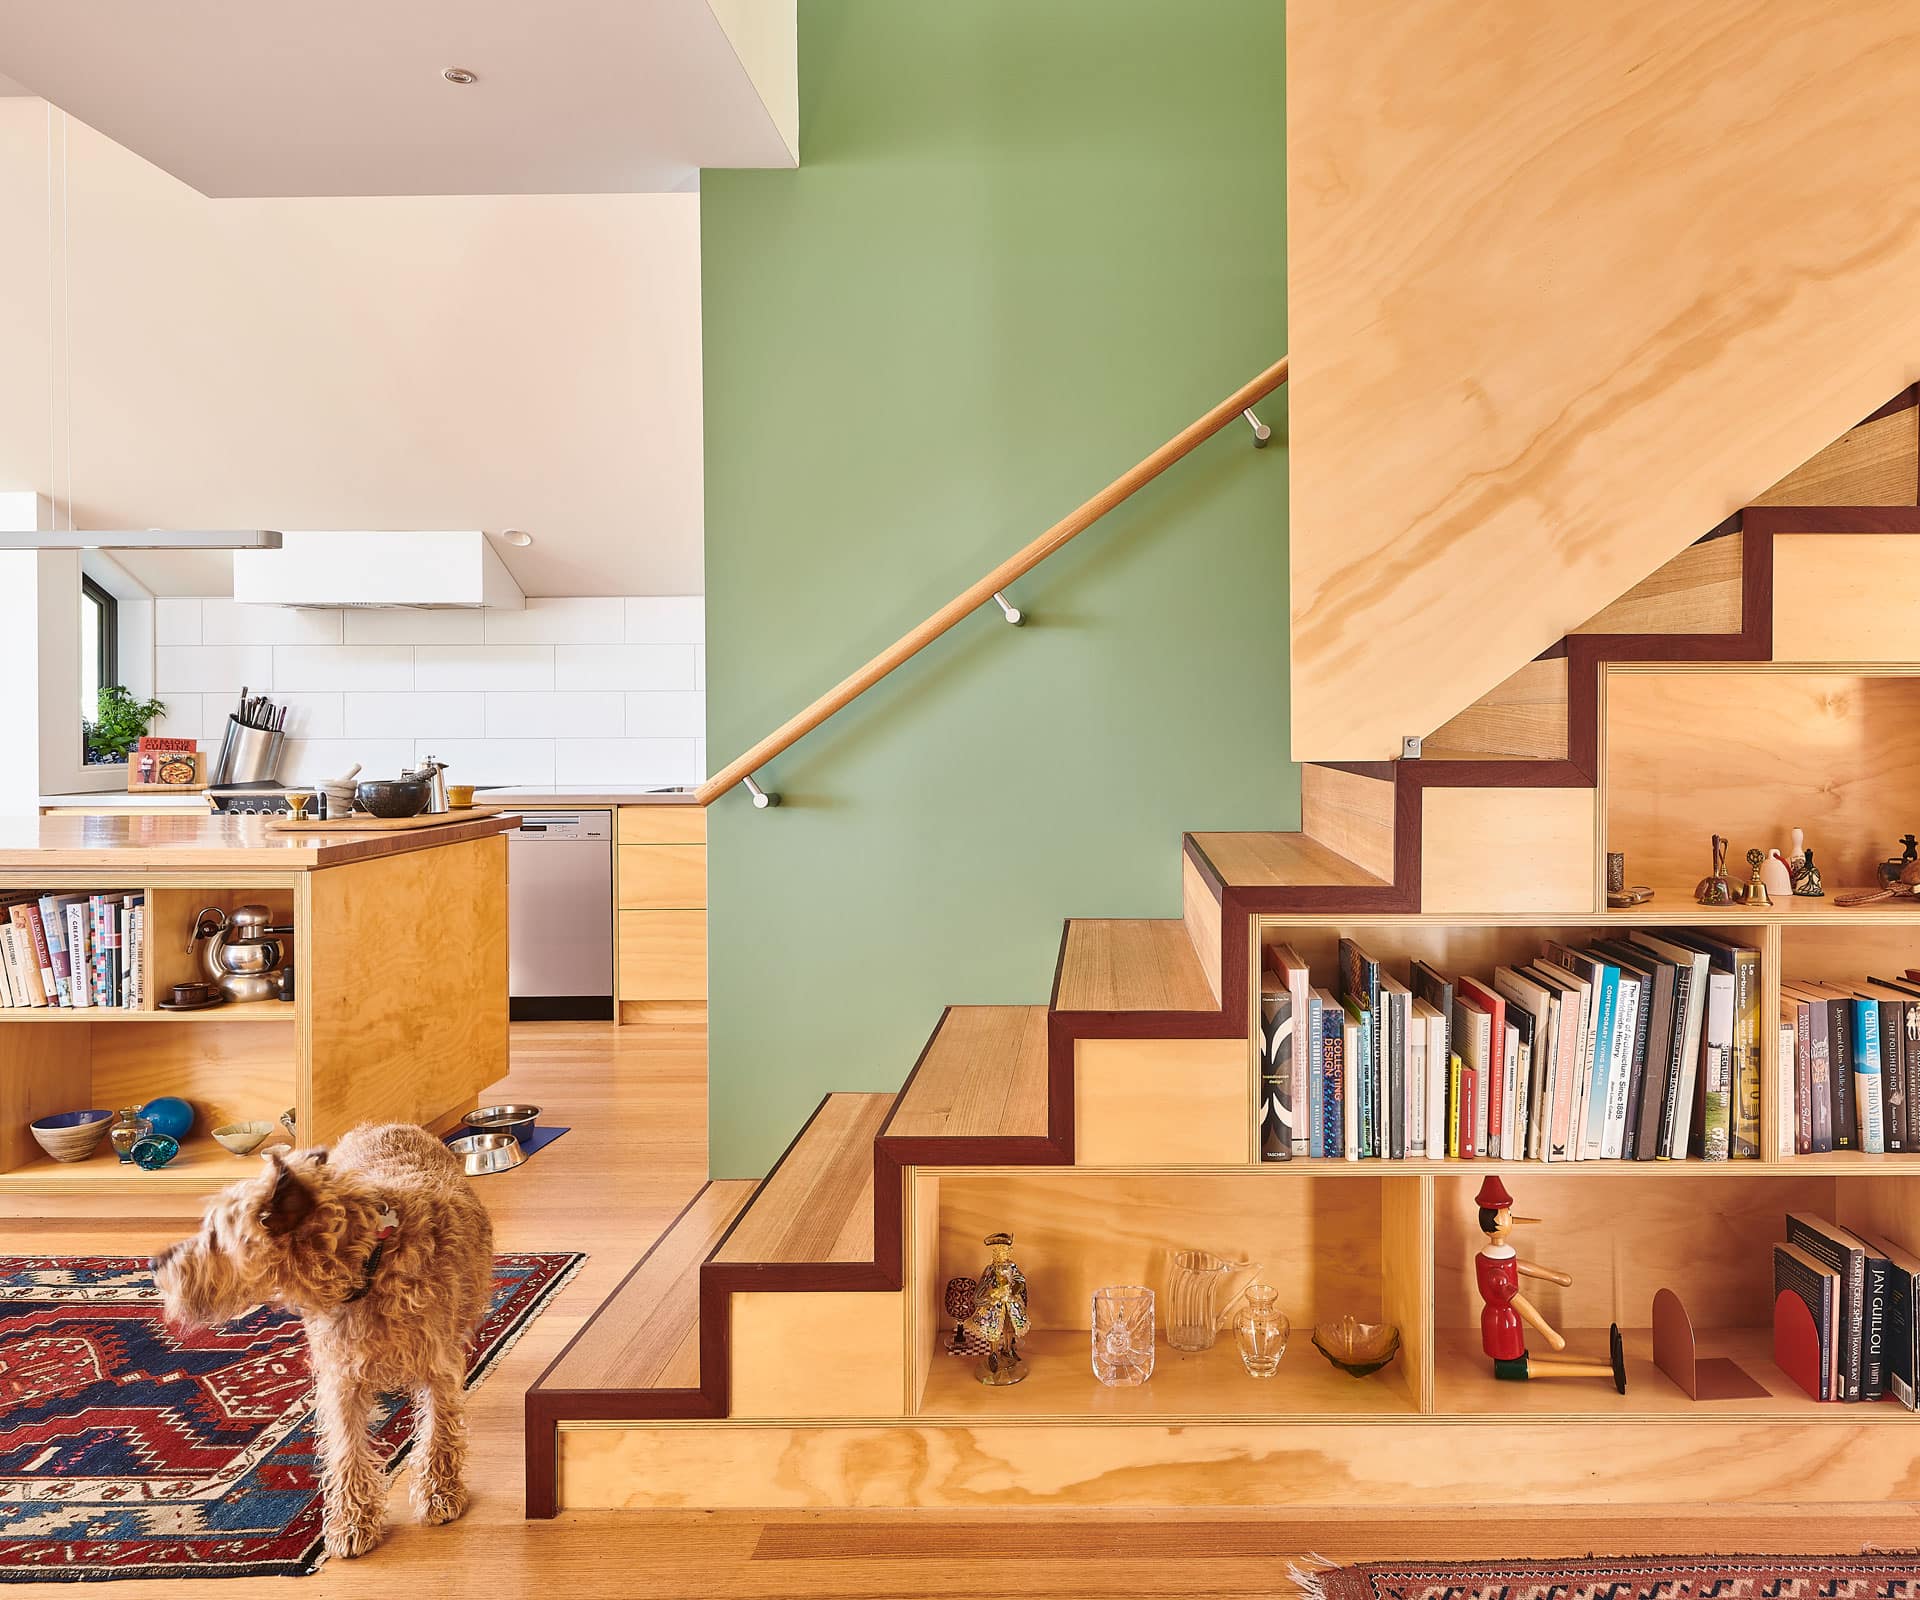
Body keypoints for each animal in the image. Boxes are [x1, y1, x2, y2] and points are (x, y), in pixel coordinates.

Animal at [153, 1114, 491, 1551]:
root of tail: (385, 1123)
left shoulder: (438, 1366)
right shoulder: (341, 1377)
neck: (365, 1265)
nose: (155, 1263)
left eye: (213, 1235)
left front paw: (438, 1492)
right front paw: (352, 1520)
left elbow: (438, 1431)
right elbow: (346, 1449)